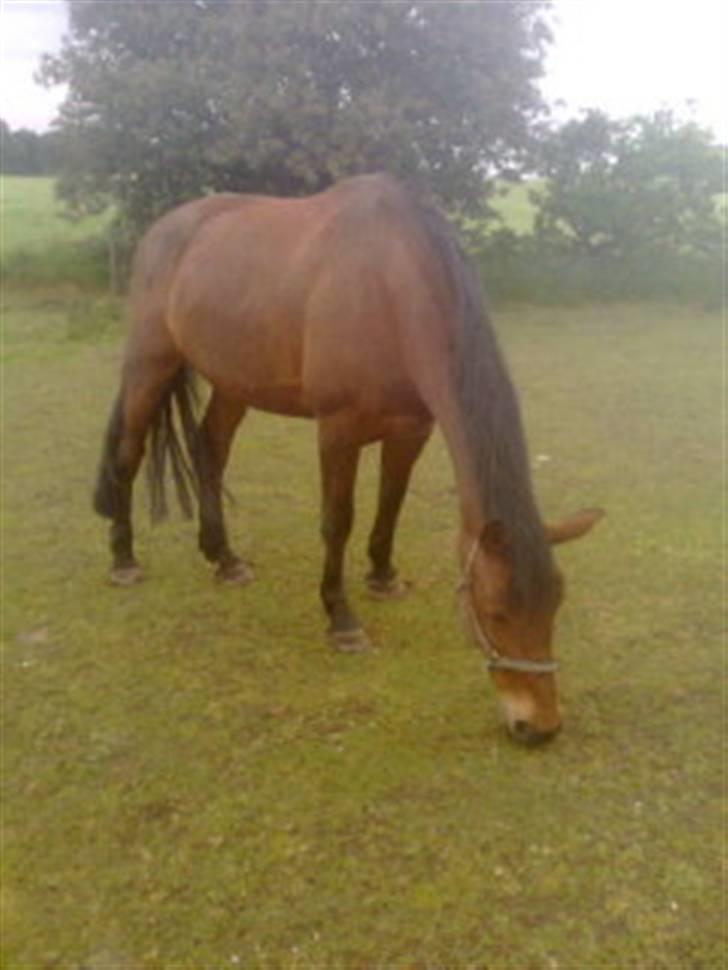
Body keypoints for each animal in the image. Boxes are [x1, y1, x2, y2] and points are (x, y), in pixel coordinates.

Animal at [92, 174, 604, 744]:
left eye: (555, 604)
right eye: (495, 613)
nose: (539, 727)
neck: (388, 285)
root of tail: (163, 229)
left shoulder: (411, 429)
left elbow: (391, 505)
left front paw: (382, 576)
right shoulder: (338, 429)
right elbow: (338, 521)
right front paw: (342, 620)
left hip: (233, 381)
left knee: (210, 451)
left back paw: (224, 558)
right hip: (151, 362)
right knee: (128, 454)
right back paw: (124, 560)